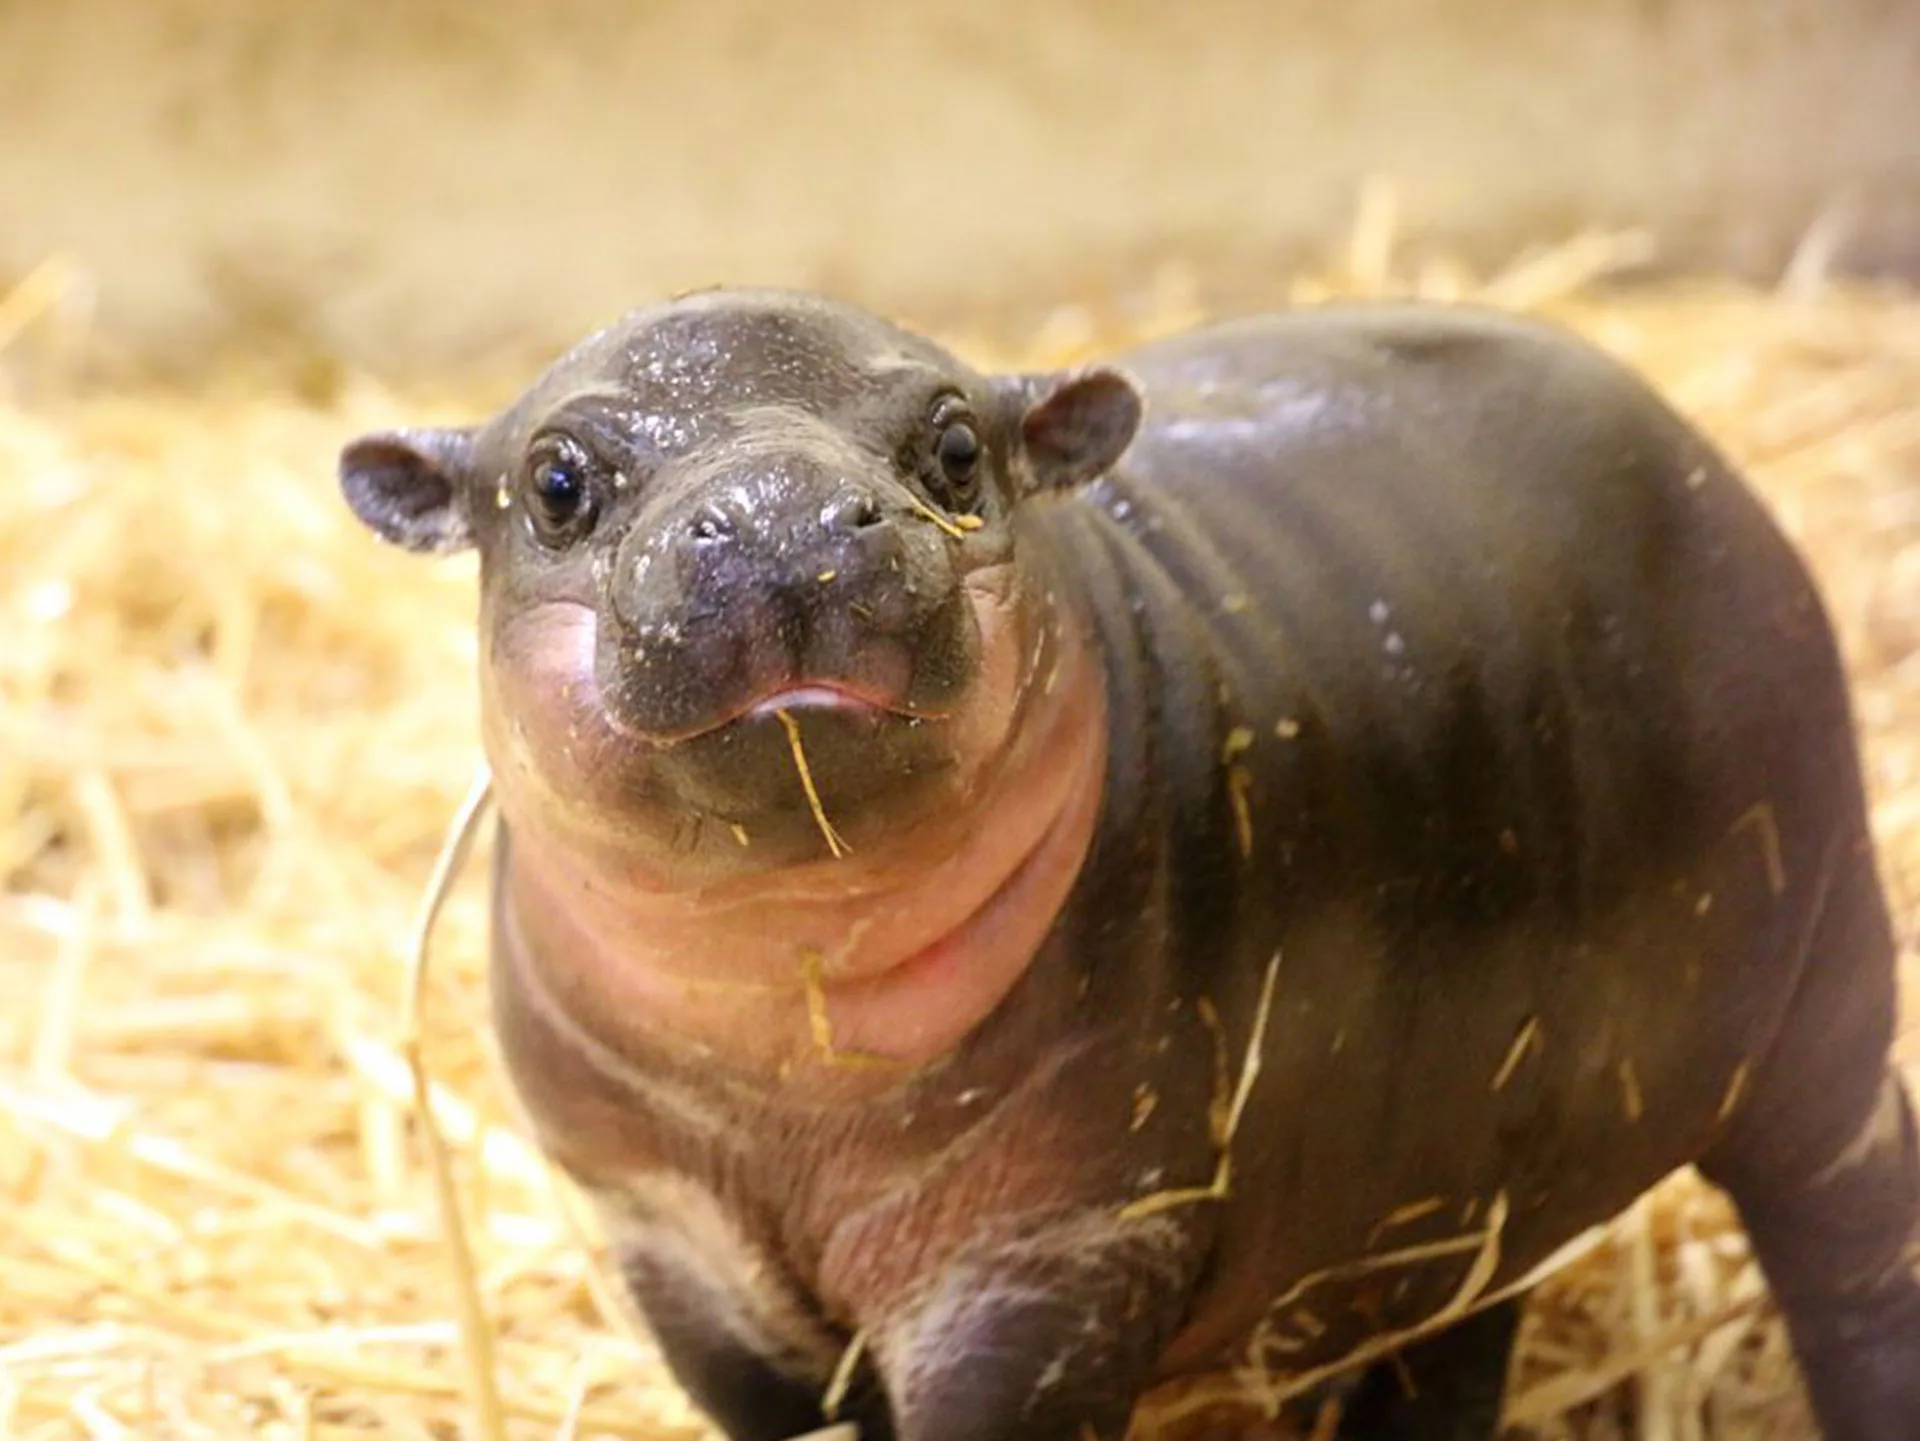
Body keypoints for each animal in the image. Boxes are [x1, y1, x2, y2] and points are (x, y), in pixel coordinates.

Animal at [339, 291, 1920, 1440]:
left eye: (957, 450)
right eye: (556, 481)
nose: (785, 518)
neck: (781, 1020)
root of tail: (1693, 449)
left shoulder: (1050, 1255)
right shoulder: (675, 1241)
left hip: (1823, 1011)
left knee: (1856, 1251)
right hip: (1471, 1163)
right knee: (1457, 1335)